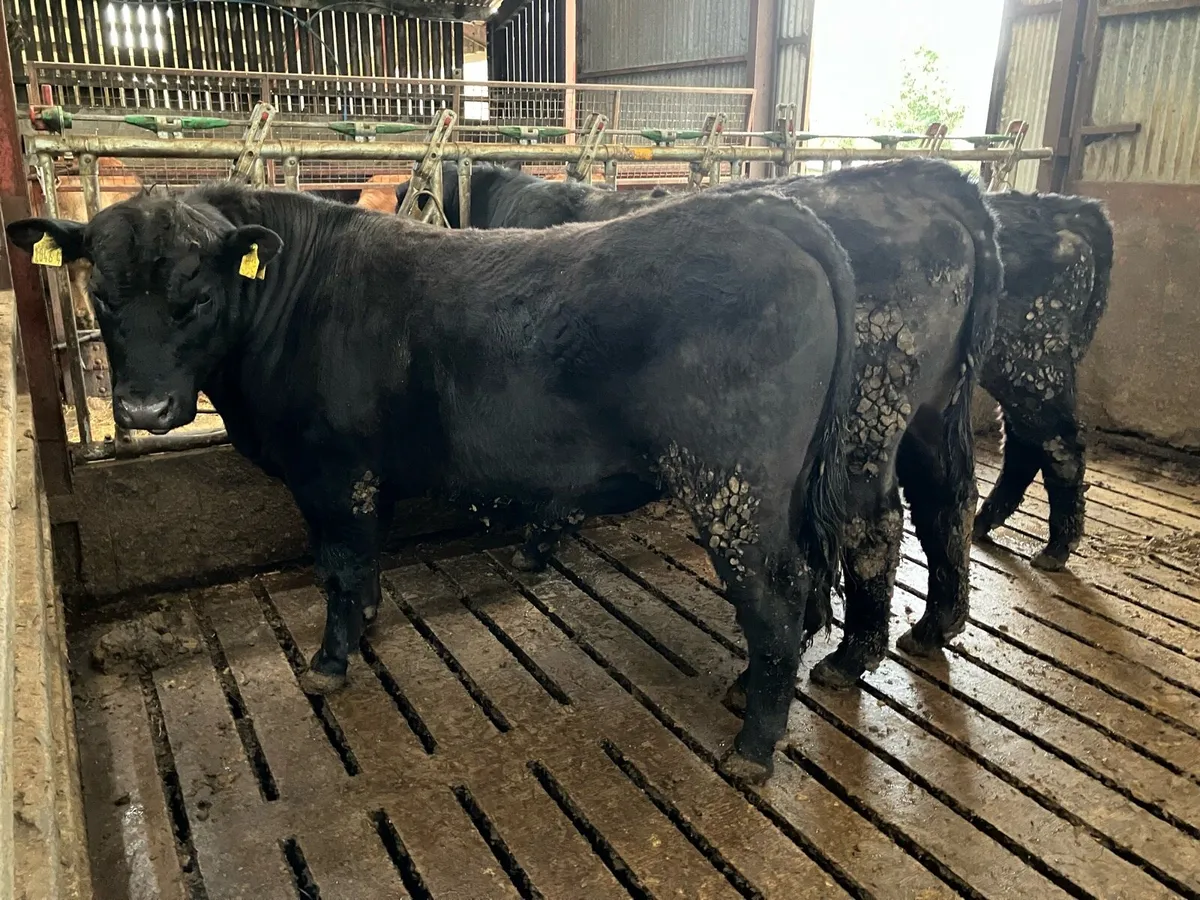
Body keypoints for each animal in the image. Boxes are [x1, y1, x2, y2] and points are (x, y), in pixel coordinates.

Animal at [8, 182, 857, 783]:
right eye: (102, 293)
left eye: (197, 296)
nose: (142, 409)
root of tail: (768, 210)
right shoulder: (357, 479)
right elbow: (361, 567)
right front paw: (367, 624)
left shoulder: (333, 472)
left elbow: (338, 568)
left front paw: (330, 663)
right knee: (804, 584)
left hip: (733, 487)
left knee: (776, 599)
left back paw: (753, 747)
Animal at [418, 158, 1003, 693]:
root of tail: (917, 180)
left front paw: (537, 543)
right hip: (933, 406)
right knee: (947, 497)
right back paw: (933, 626)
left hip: (868, 416)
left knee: (874, 522)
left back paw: (849, 656)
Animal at [972, 190, 1114, 571]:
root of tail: (1068, 208)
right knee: (1024, 441)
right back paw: (983, 523)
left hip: (1029, 365)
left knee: (1061, 443)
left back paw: (1056, 548)